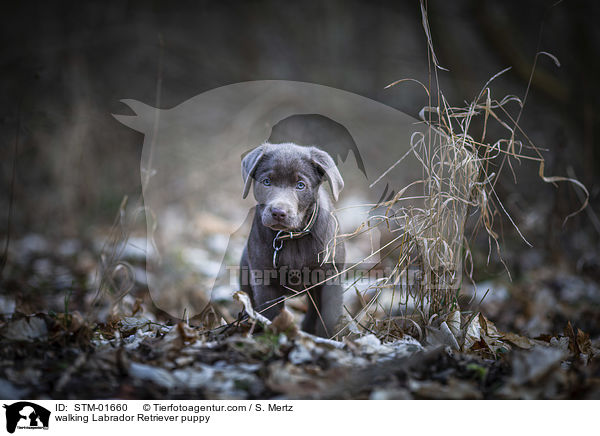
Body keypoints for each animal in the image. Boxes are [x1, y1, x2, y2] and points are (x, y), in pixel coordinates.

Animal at [238, 142, 344, 338]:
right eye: (267, 182)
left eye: (300, 185)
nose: (278, 212)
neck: (292, 236)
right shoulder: (264, 280)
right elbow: (271, 314)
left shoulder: (330, 277)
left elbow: (330, 315)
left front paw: (331, 339)